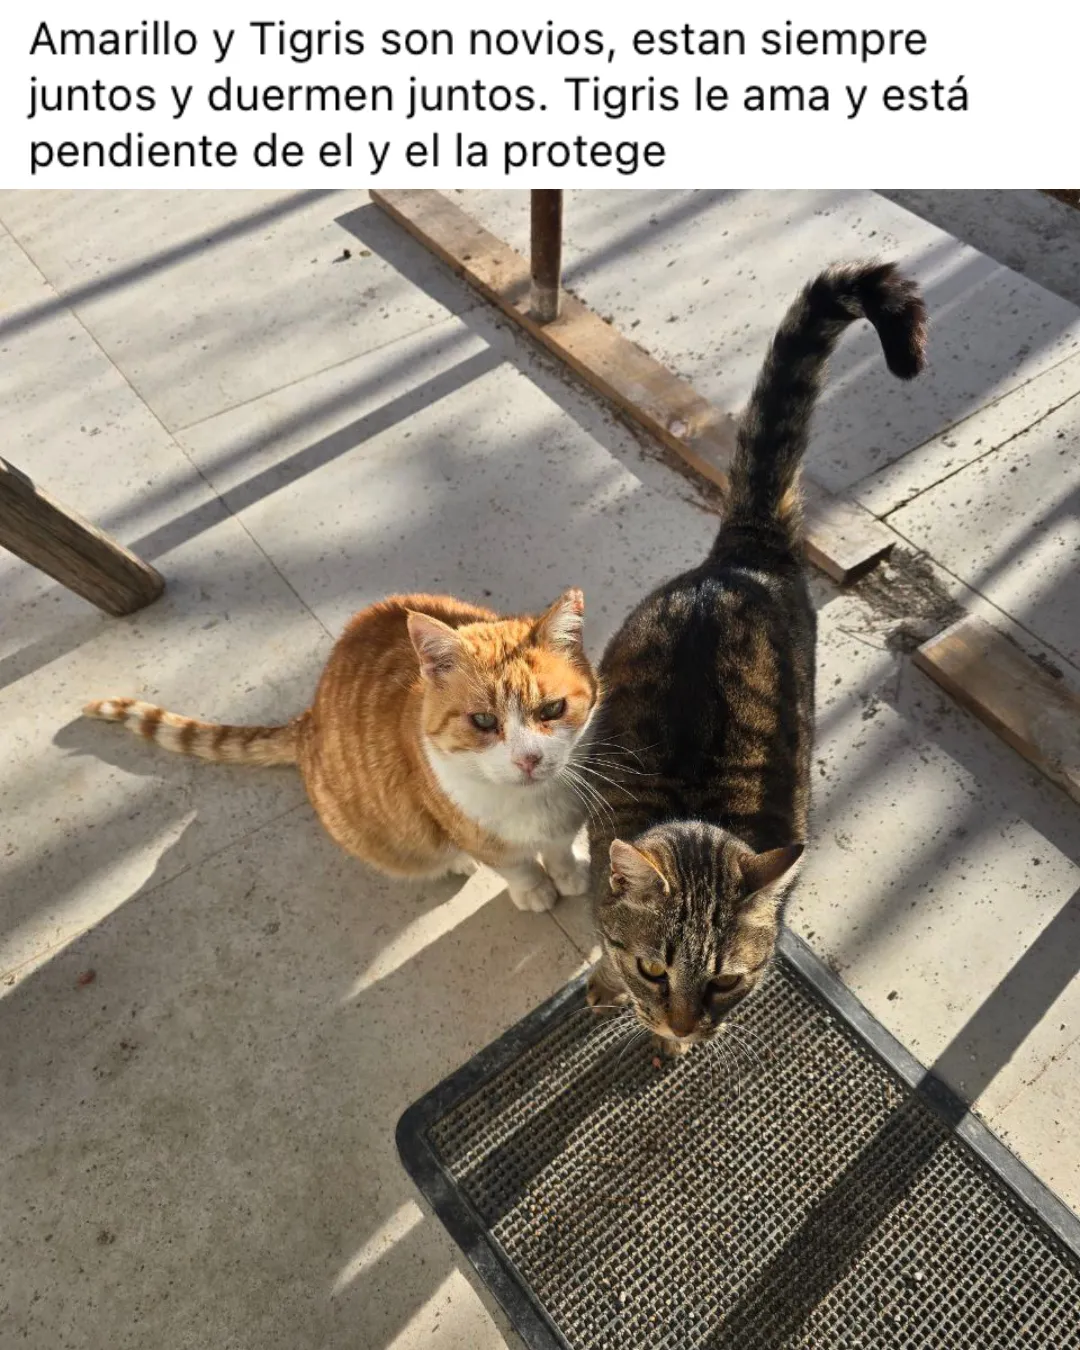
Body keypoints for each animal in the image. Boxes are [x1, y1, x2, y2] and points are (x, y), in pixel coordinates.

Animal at [85, 589, 600, 912]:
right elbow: (517, 868)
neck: (530, 804)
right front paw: (536, 891)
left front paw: (569, 873)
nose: (528, 759)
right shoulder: (476, 834)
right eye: (484, 722)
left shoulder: (565, 817)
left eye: (552, 709)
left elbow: (557, 850)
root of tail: (308, 718)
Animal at [585, 261, 927, 1050]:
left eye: (725, 981)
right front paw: (612, 988)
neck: (694, 810)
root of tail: (745, 554)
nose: (684, 1026)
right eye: (653, 969)